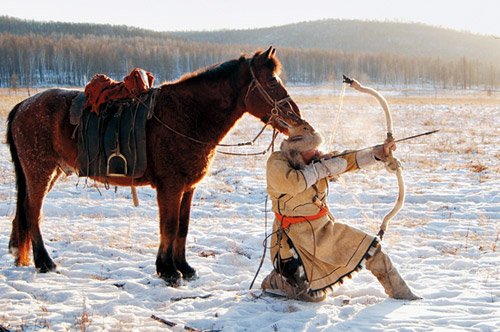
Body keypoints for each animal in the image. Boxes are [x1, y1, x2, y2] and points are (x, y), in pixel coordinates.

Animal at [6, 46, 304, 286]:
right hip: (39, 172)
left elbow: (182, 227)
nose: (296, 117)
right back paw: (45, 262)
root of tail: (23, 105)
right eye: (271, 81)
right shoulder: (170, 187)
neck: (187, 115)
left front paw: (184, 267)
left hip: (49, 172)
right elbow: (169, 226)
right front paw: (168, 271)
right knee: (33, 214)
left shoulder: (187, 188)